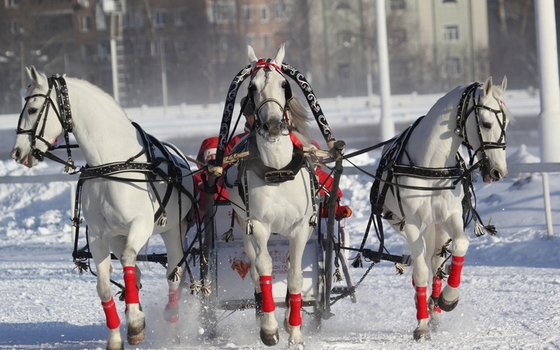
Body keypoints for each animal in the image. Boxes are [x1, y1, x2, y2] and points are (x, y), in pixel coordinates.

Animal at [10, 66, 195, 350]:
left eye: (31, 109)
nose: (17, 153)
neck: (110, 164)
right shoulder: (98, 235)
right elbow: (105, 286)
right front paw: (119, 334)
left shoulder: (141, 225)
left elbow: (130, 259)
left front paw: (135, 323)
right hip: (118, 237)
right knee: (136, 273)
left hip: (173, 231)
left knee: (173, 273)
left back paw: (171, 322)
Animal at [225, 44, 318, 348]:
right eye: (252, 87)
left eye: (284, 85)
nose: (274, 125)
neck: (277, 170)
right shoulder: (258, 226)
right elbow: (264, 268)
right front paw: (269, 328)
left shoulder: (300, 229)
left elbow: (296, 276)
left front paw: (295, 332)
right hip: (244, 226)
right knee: (255, 267)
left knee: (288, 264)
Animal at [370, 76, 510, 340]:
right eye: (486, 123)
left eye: (506, 122)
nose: (499, 172)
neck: (431, 166)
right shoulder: (411, 225)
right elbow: (420, 271)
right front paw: (421, 325)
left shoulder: (450, 217)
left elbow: (460, 244)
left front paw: (448, 298)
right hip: (407, 226)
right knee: (423, 263)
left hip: (437, 228)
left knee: (435, 261)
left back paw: (434, 307)